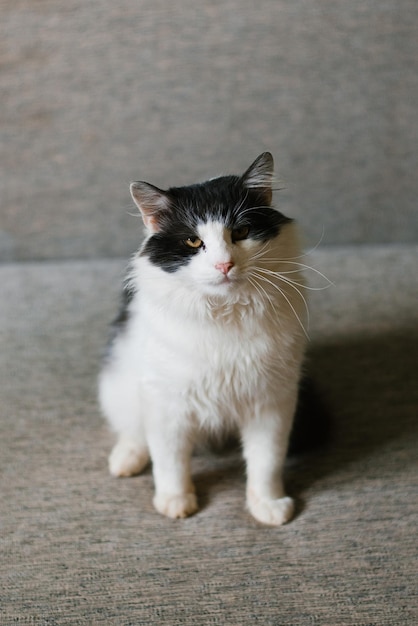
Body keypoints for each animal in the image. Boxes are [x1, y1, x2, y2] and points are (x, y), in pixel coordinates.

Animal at [99, 151, 322, 520]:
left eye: (241, 232)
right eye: (193, 241)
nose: (224, 265)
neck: (226, 313)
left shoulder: (271, 402)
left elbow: (266, 462)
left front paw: (268, 505)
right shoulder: (167, 403)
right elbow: (170, 461)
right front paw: (176, 502)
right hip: (121, 383)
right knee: (133, 431)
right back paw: (126, 460)